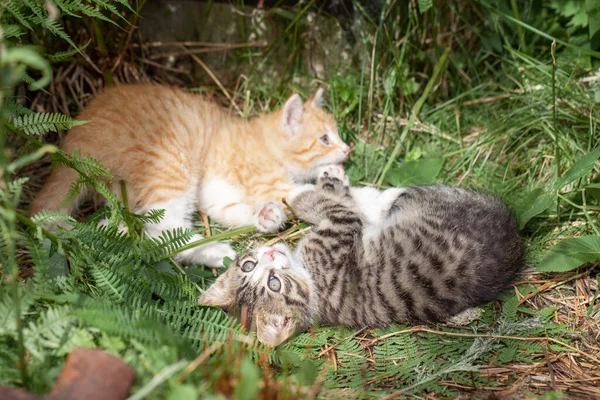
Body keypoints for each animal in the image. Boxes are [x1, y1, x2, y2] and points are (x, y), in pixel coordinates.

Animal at [31, 83, 352, 268]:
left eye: (336, 134)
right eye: (325, 139)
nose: (347, 149)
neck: (266, 143)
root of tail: (73, 145)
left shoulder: (214, 194)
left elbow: (233, 210)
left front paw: (267, 216)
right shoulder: (266, 179)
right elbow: (299, 192)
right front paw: (338, 184)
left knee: (126, 226)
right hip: (171, 162)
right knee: (160, 229)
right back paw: (215, 252)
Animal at [199, 166, 524, 346]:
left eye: (248, 265)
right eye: (274, 284)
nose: (268, 253)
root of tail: (514, 238)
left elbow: (340, 204)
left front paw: (324, 185)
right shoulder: (338, 232)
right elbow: (338, 208)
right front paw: (297, 192)